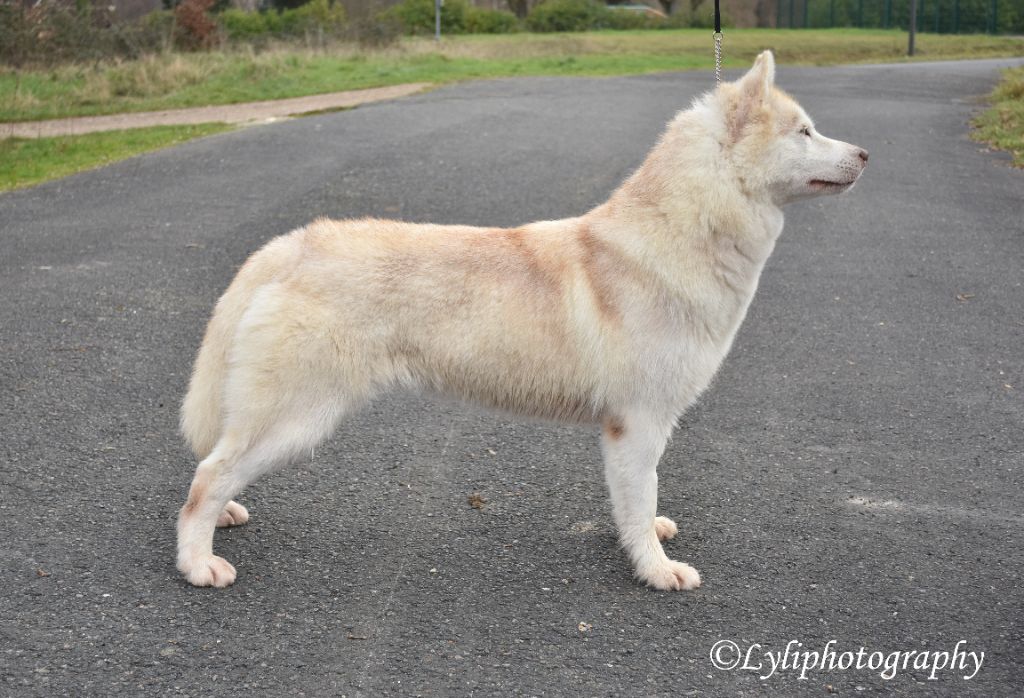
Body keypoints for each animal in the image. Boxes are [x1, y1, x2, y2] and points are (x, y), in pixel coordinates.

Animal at [176, 51, 867, 589]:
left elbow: (636, 498)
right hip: (299, 414)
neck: (684, 234)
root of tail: (293, 244)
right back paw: (198, 562)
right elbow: (640, 495)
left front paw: (644, 536)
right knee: (206, 477)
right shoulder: (638, 420)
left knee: (219, 465)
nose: (864, 153)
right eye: (805, 132)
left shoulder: (634, 429)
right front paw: (655, 569)